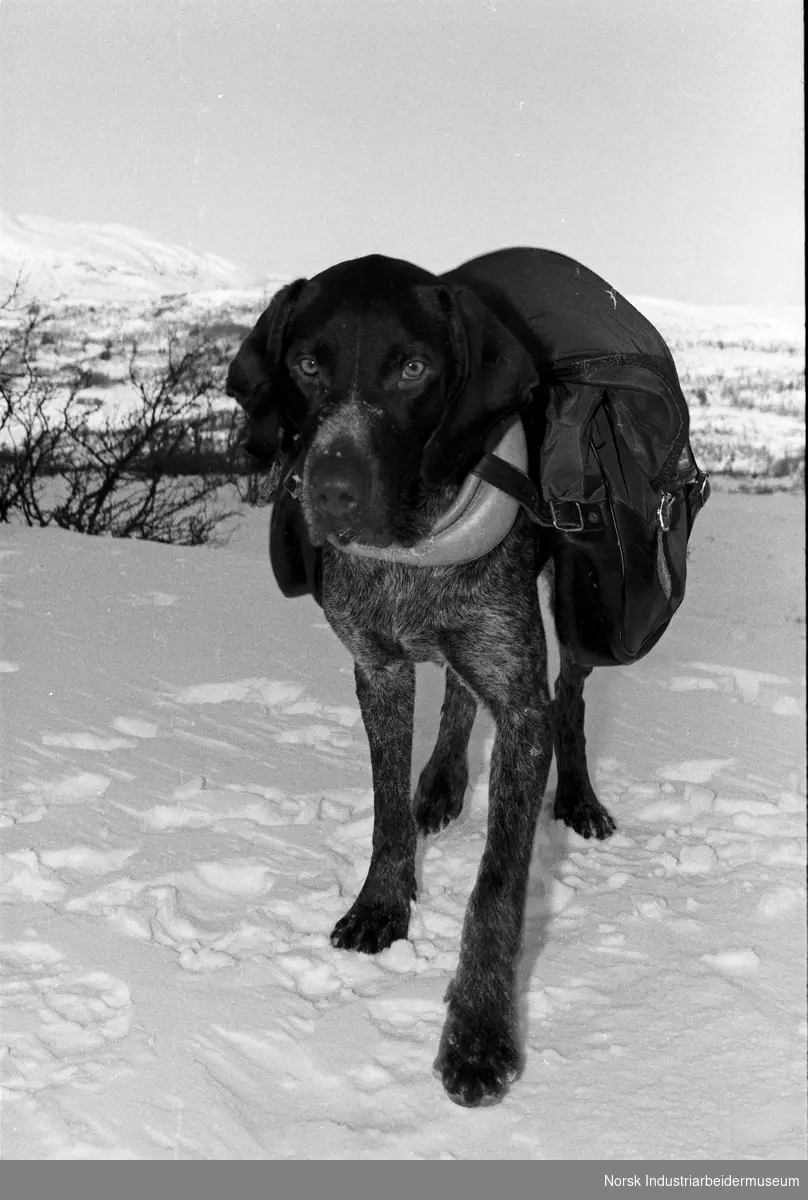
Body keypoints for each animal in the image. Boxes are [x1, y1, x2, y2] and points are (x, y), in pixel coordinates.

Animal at [223, 253, 614, 1104]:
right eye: (306, 364)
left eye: (413, 368)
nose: (331, 490)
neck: (415, 555)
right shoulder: (378, 669)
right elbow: (385, 811)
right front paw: (381, 904)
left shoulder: (521, 707)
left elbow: (497, 887)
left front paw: (479, 1035)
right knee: (460, 693)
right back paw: (440, 782)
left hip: (579, 611)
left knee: (571, 695)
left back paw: (579, 799)